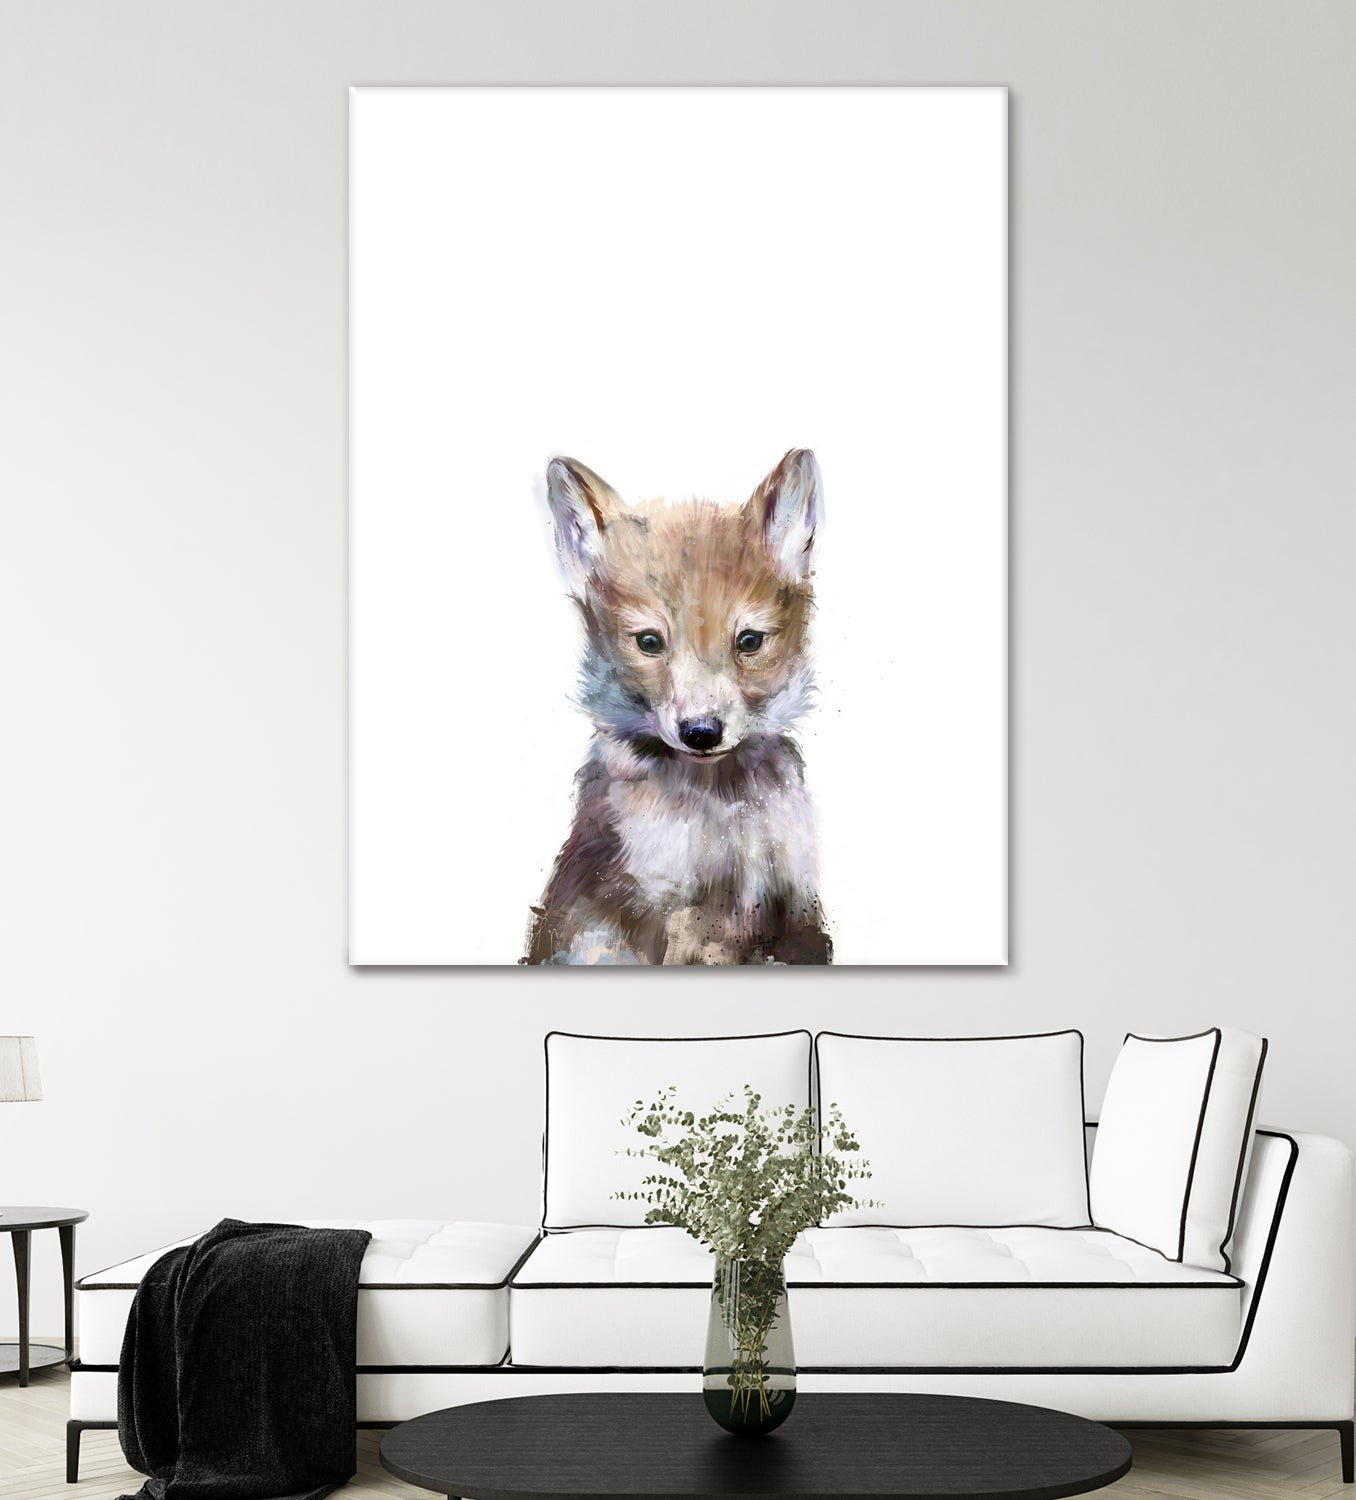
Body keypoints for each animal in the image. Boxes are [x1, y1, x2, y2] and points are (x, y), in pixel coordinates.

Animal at [524, 449, 832, 966]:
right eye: (649, 642)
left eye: (749, 641)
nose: (701, 733)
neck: (721, 812)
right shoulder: (666, 910)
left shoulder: (793, 905)